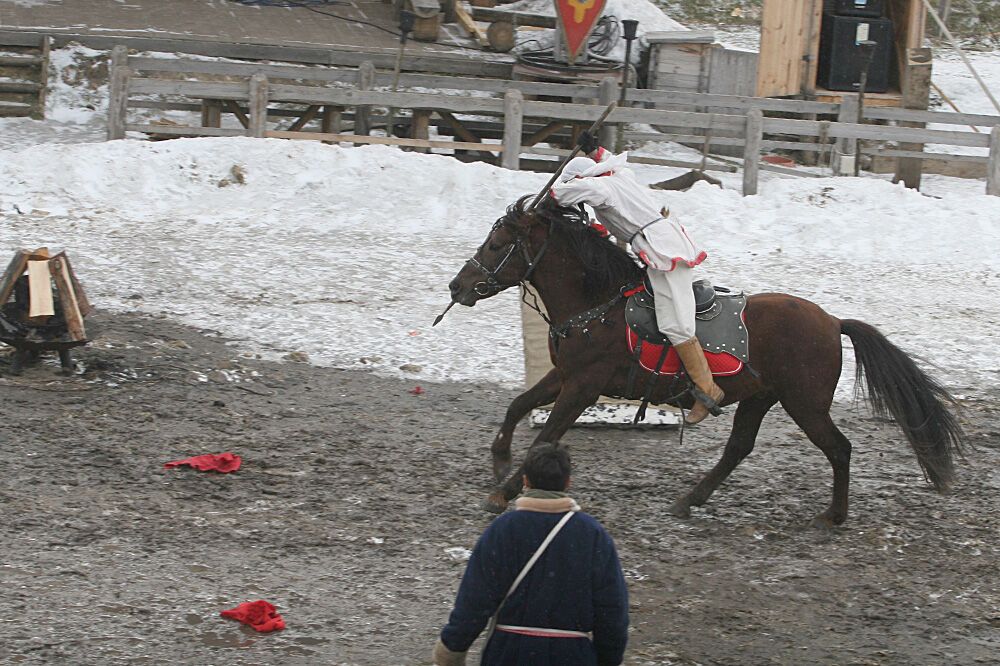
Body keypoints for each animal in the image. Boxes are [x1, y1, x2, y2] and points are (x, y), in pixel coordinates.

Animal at [450, 195, 964, 528]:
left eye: (496, 244)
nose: (458, 286)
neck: (597, 302)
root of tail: (833, 321)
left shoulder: (584, 386)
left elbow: (547, 435)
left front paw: (506, 488)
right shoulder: (565, 375)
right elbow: (518, 406)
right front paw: (500, 462)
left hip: (805, 405)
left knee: (839, 448)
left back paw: (834, 516)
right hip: (761, 398)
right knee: (738, 449)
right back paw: (690, 499)